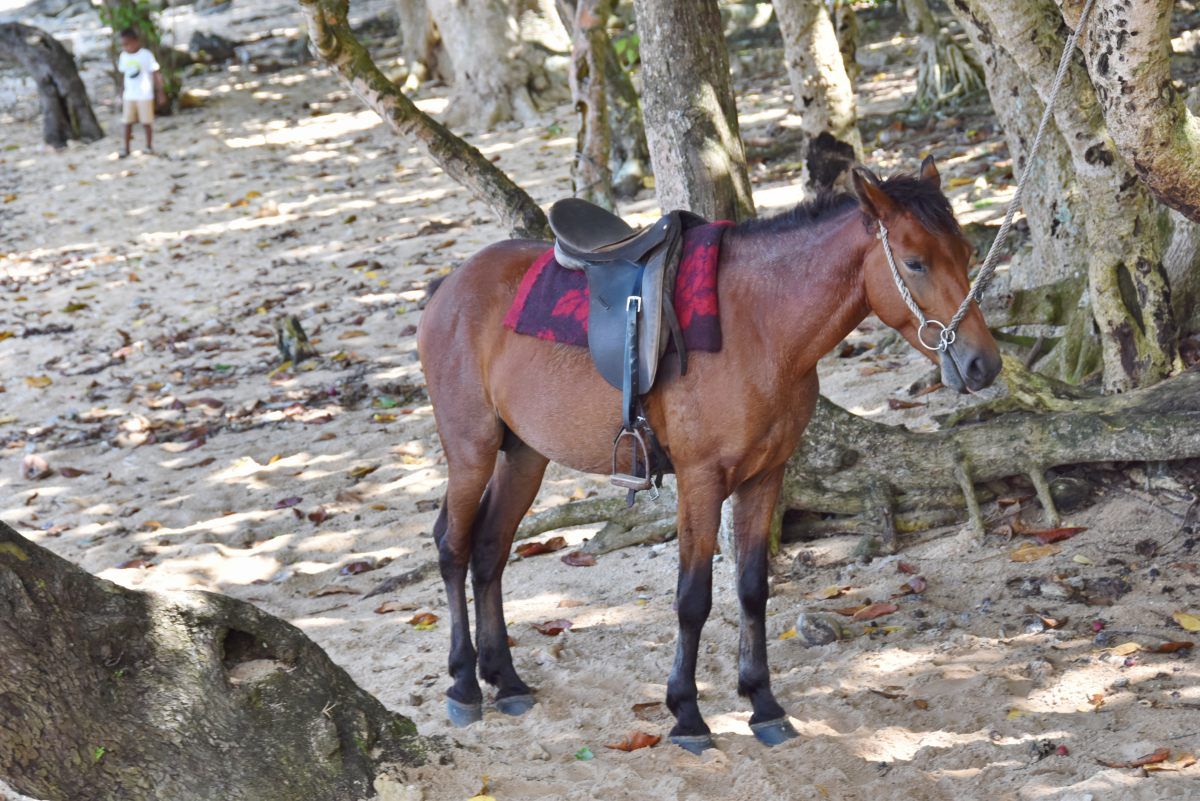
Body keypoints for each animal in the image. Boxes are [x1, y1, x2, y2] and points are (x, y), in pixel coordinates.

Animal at [416, 156, 1002, 752]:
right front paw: (687, 713)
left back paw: (505, 680)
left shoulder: (766, 476)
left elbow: (752, 588)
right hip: (471, 449)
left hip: (525, 455)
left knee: (490, 549)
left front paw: (763, 704)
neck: (760, 327)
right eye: (914, 262)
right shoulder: (700, 479)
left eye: (966, 254)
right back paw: (464, 684)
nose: (983, 364)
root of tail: (449, 286)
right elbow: (693, 597)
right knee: (453, 546)